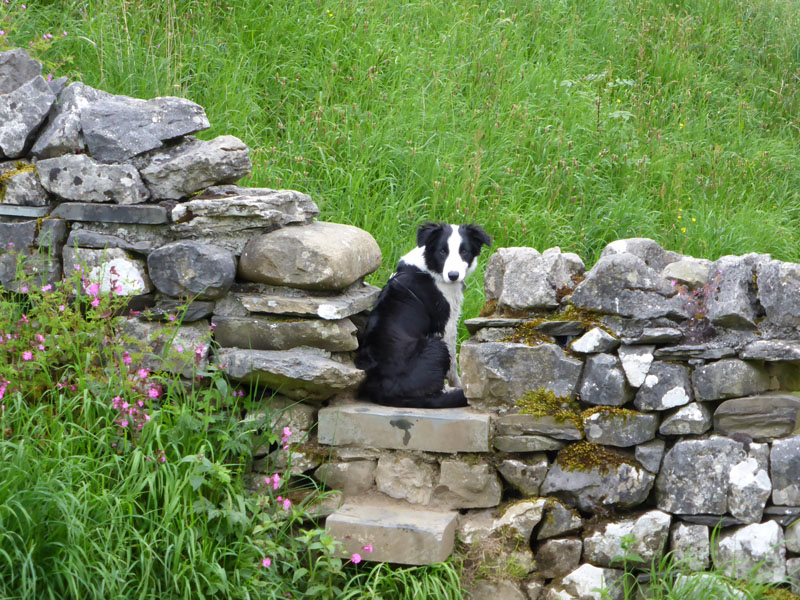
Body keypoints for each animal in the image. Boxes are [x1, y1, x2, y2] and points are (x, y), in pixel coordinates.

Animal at [358, 223, 494, 410]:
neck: (430, 269)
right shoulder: (446, 324)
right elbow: (453, 362)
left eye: (464, 251)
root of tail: (383, 392)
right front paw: (458, 384)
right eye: (442, 251)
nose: (453, 276)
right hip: (435, 346)